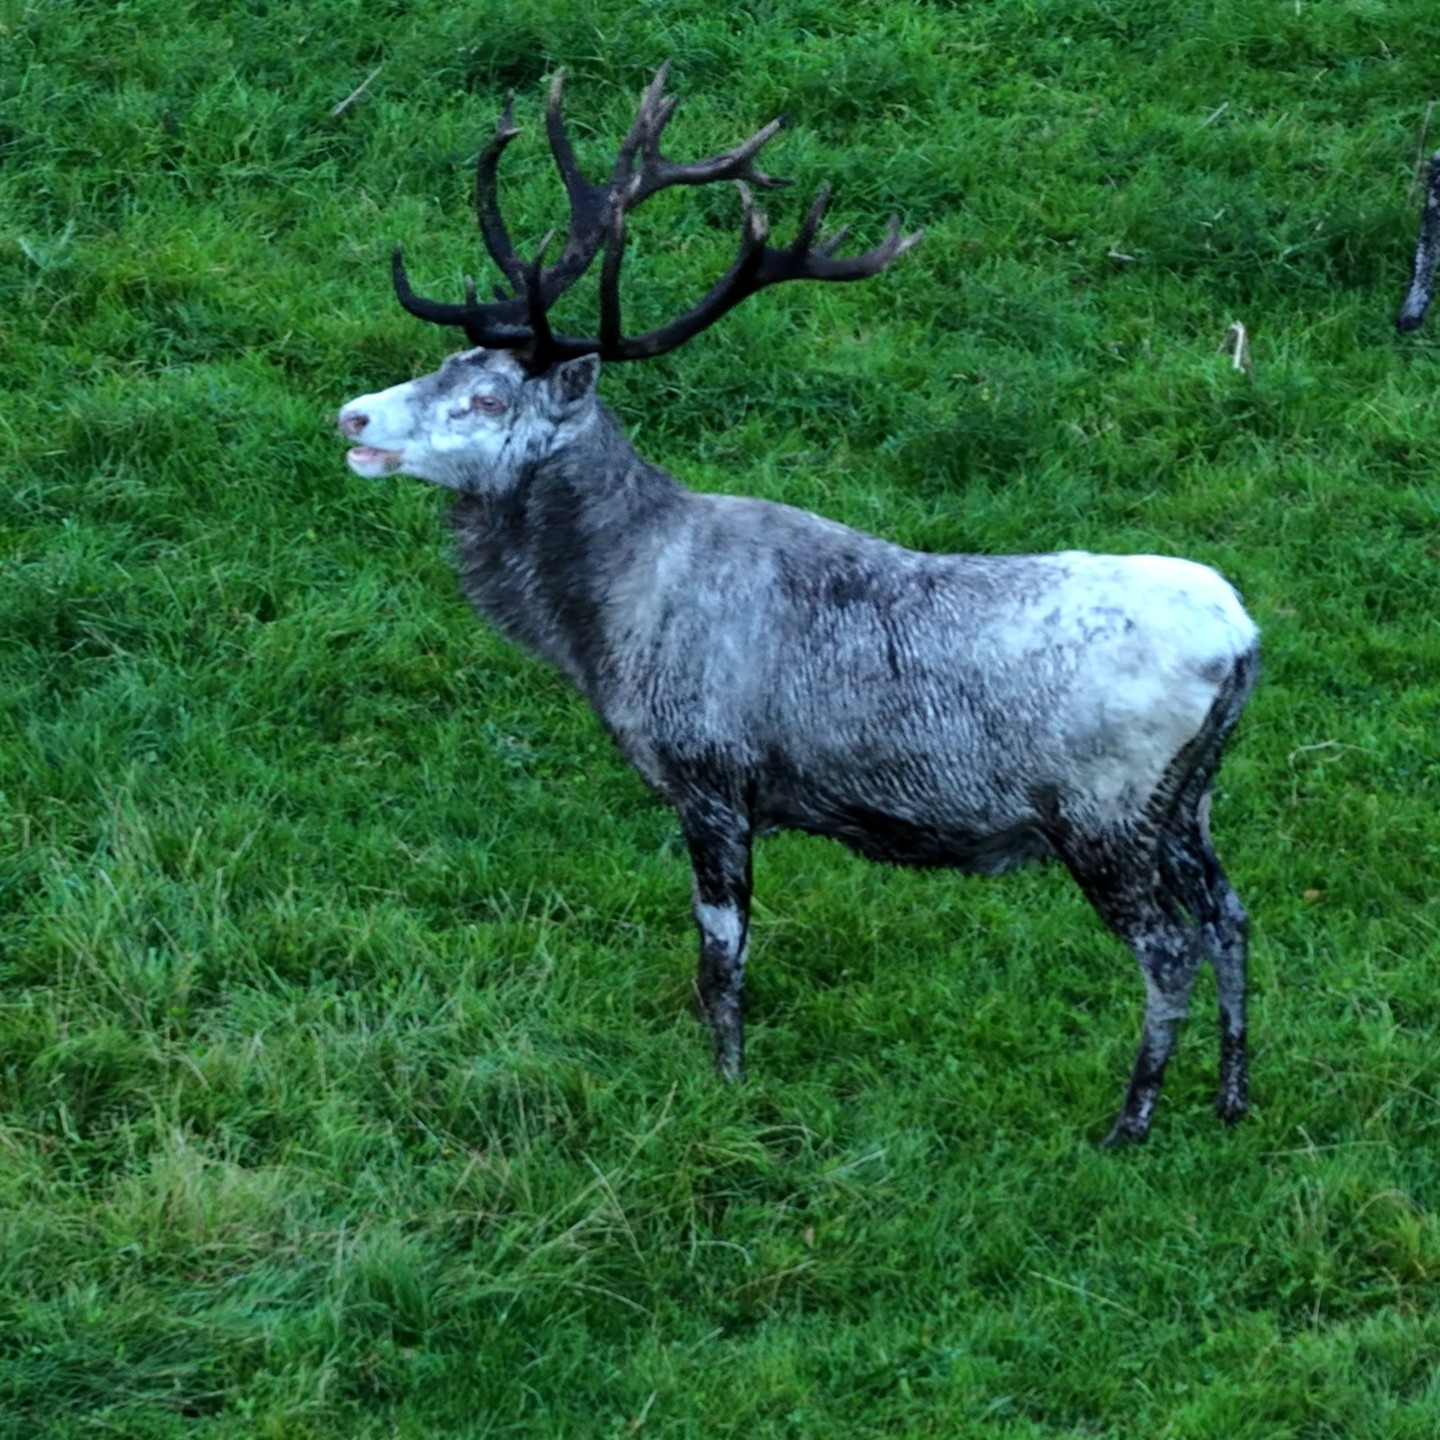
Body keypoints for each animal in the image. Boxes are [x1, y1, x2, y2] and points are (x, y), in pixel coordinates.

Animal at [337, 65, 1260, 1145]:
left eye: (489, 400)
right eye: (445, 363)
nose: (354, 416)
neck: (607, 626)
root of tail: (1244, 640)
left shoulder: (711, 769)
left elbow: (721, 955)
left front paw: (725, 1087)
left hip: (1103, 807)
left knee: (1170, 946)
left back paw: (1131, 1123)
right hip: (1189, 801)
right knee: (1232, 915)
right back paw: (1233, 1097)